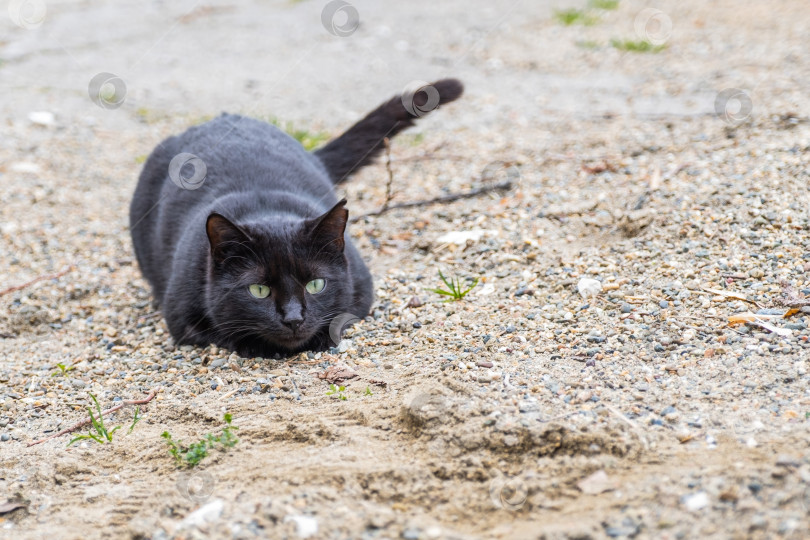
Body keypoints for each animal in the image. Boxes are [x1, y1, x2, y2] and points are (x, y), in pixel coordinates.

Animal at [130, 79, 464, 358]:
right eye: (259, 290)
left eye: (316, 285)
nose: (293, 318)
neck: (264, 205)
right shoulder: (181, 315)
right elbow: (223, 332)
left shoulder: (361, 289)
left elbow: (342, 317)